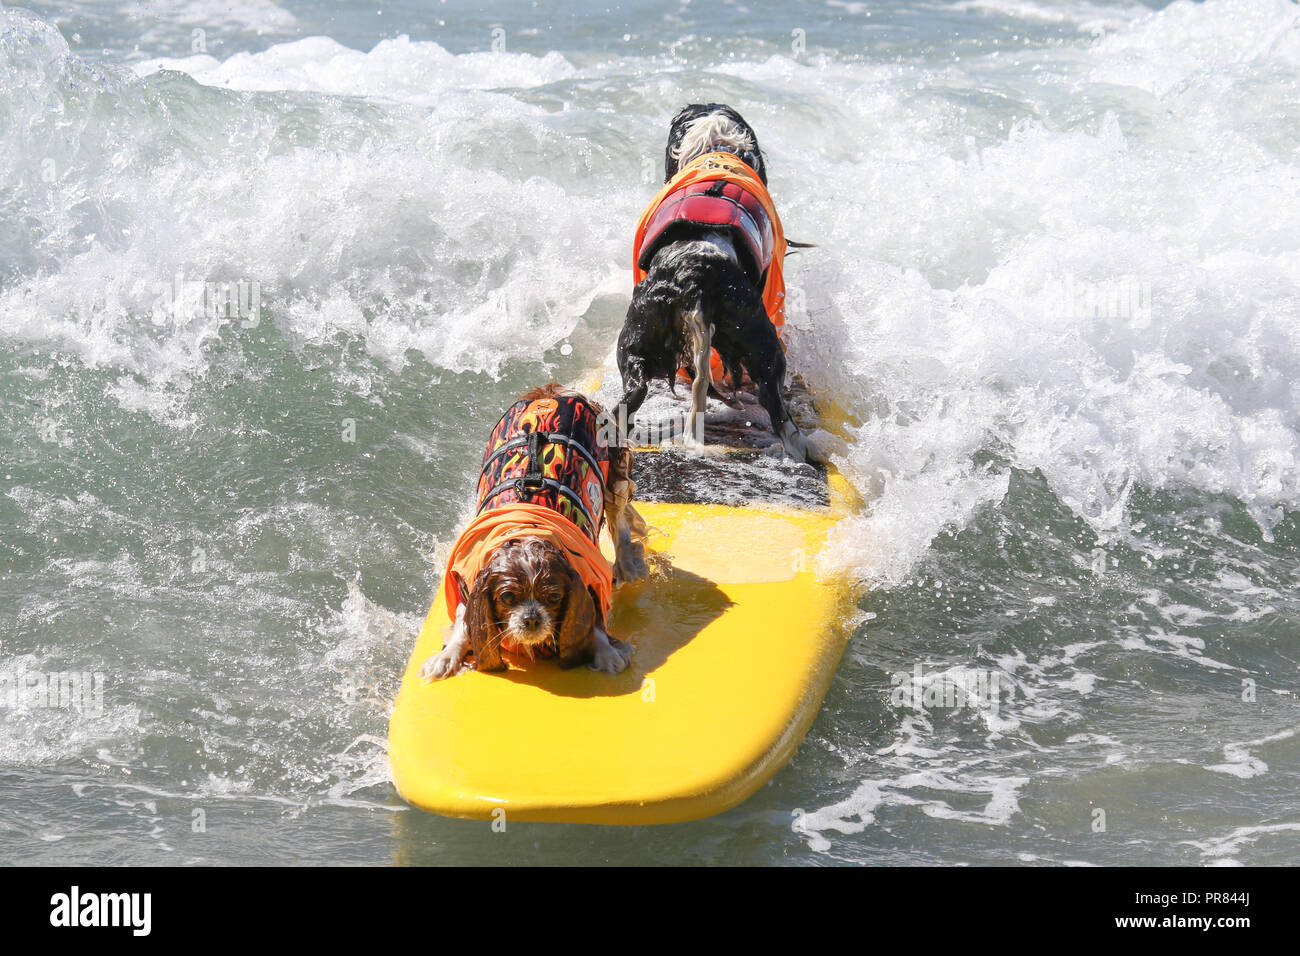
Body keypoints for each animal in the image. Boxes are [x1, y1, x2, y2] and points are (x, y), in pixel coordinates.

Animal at [421, 382, 644, 681]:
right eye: (507, 597)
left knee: (618, 521)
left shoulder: (587, 581)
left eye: (554, 597)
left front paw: (607, 653)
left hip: (613, 472)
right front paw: (446, 657)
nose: (531, 619)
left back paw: (626, 566)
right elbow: (462, 621)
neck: (528, 532)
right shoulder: (467, 581)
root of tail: (554, 391)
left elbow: (594, 622)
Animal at [613, 102, 806, 463]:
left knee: (630, 397)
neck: (714, 145)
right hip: (759, 335)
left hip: (638, 333)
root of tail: (694, 276)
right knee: (776, 406)